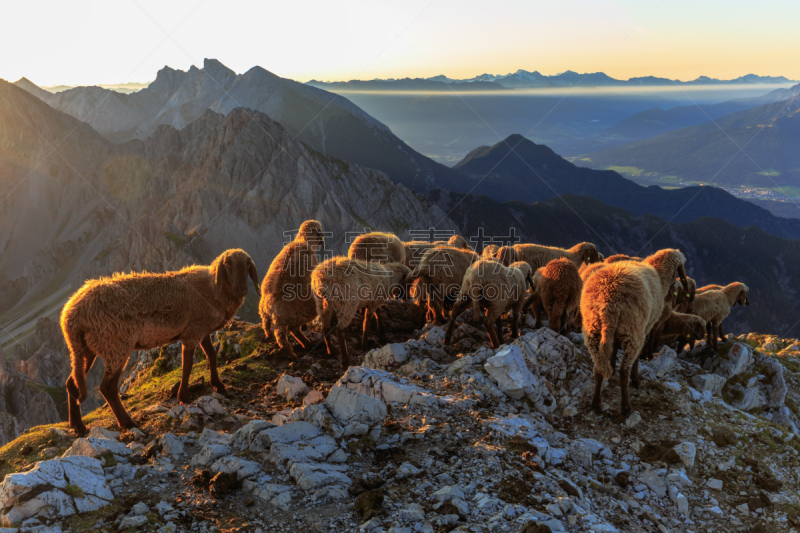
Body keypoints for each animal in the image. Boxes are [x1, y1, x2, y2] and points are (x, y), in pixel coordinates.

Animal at [61, 248, 260, 432]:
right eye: (227, 265)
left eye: (248, 265)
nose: (242, 289)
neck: (212, 289)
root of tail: (72, 315)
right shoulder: (192, 332)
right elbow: (187, 365)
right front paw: (184, 397)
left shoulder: (202, 330)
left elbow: (211, 355)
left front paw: (218, 385)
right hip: (117, 344)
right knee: (107, 387)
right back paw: (127, 423)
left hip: (86, 348)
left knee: (72, 382)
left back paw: (78, 426)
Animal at [260, 220, 326, 358]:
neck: (302, 241)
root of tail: (273, 309)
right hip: (304, 311)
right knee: (291, 329)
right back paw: (302, 346)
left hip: (264, 313)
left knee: (267, 325)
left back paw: (269, 335)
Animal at [580, 247, 688, 414]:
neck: (659, 276)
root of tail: (608, 302)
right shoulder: (645, 327)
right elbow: (637, 356)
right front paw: (636, 379)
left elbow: (614, 346)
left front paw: (611, 365)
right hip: (632, 331)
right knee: (624, 370)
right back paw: (626, 406)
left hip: (593, 331)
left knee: (598, 366)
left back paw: (596, 403)